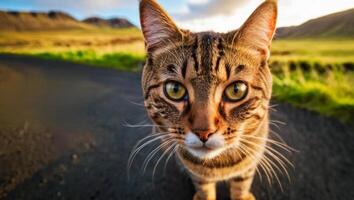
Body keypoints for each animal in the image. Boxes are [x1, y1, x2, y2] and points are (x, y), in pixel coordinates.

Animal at [138, 0, 282, 200]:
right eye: (174, 89)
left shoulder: (250, 162)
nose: (204, 132)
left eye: (236, 90)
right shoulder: (198, 174)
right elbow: (204, 188)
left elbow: (242, 184)